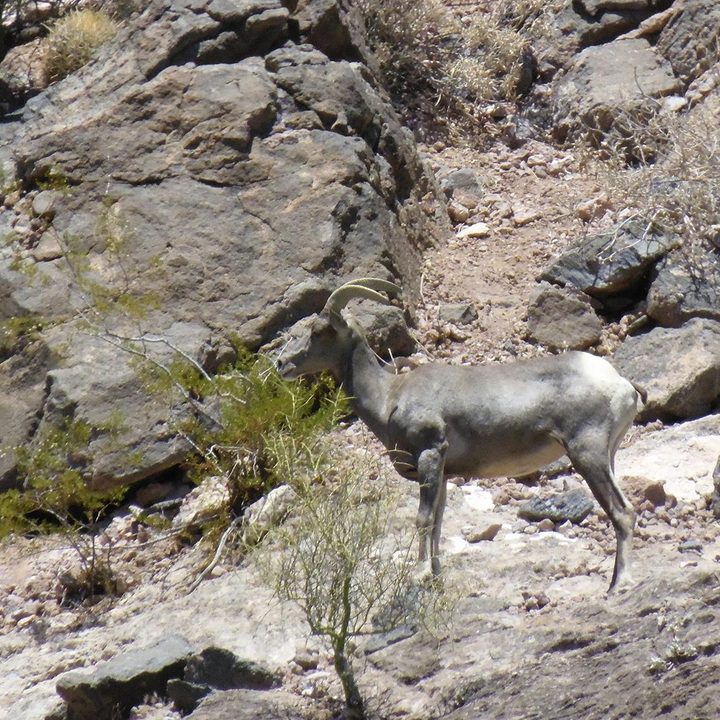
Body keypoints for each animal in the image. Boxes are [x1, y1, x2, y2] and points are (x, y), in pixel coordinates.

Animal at [276, 278, 642, 592]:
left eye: (319, 330)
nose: (282, 364)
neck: (388, 396)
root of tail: (621, 385)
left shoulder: (430, 455)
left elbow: (423, 519)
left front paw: (420, 573)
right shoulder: (443, 474)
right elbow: (438, 524)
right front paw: (434, 576)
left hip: (587, 453)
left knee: (622, 512)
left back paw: (619, 586)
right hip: (605, 456)